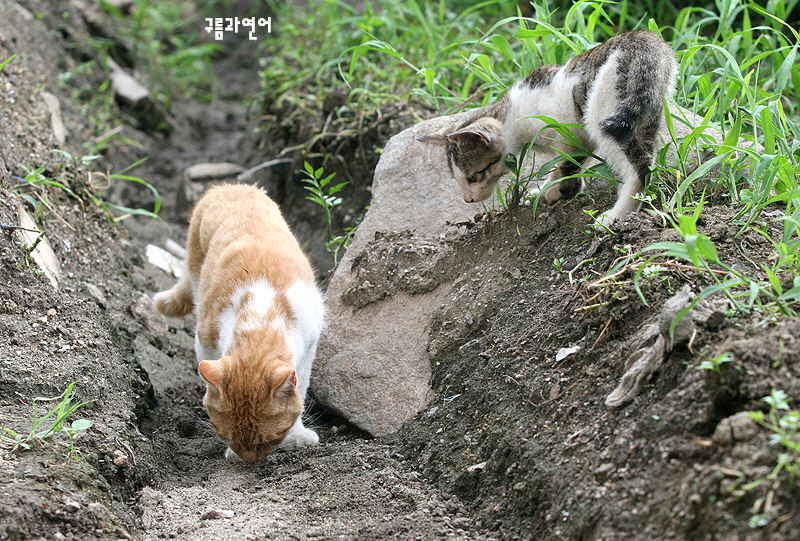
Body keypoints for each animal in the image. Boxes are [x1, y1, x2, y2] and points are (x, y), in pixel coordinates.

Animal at [153, 184, 322, 462]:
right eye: (228, 437)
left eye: (268, 441)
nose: (247, 461)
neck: (261, 315)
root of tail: (229, 185)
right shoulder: (204, 338)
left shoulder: (310, 344)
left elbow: (302, 386)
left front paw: (297, 434)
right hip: (196, 274)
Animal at [418, 31, 676, 226]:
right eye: (457, 179)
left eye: (473, 177)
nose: (468, 200)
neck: (514, 116)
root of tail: (645, 38)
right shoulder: (579, 141)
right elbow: (569, 165)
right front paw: (550, 192)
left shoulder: (568, 134)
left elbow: (564, 166)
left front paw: (554, 191)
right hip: (645, 117)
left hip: (604, 113)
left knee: (639, 169)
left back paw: (616, 216)